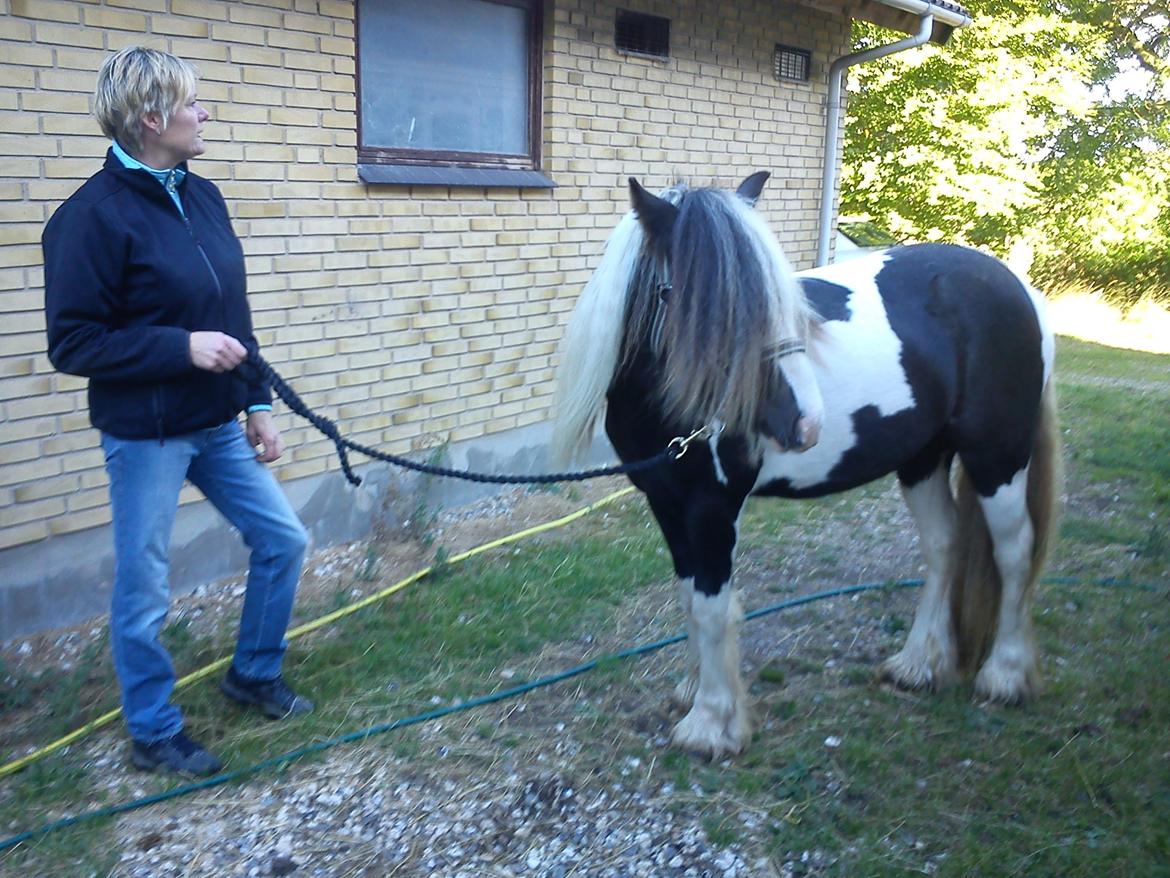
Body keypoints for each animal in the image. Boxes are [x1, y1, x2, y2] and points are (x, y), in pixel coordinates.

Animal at [547, 175, 1062, 758]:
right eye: (709, 306)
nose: (806, 422)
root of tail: (1018, 287)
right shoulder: (666, 501)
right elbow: (689, 598)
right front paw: (695, 692)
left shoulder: (712, 508)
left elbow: (711, 607)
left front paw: (712, 723)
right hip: (922, 459)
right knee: (944, 544)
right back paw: (919, 664)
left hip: (997, 456)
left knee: (1015, 552)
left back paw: (1006, 675)